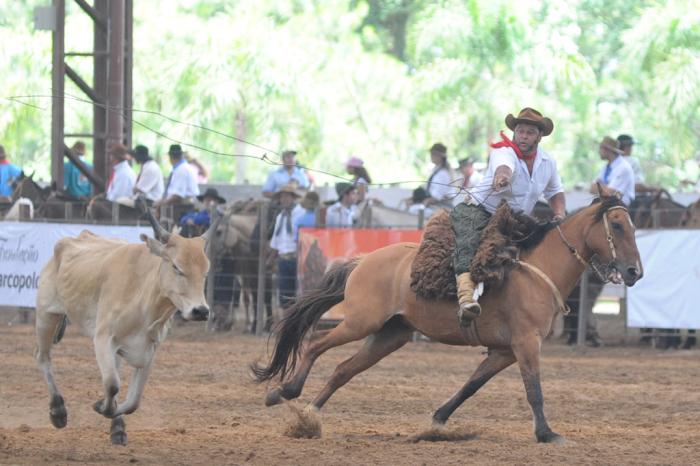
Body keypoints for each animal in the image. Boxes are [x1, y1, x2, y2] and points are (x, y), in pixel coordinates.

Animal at [254, 187, 644, 444]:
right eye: (617, 225)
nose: (634, 272)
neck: (537, 269)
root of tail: (363, 260)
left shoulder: (503, 351)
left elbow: (471, 386)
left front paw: (437, 421)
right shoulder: (525, 343)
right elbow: (534, 389)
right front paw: (547, 434)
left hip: (389, 335)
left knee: (342, 369)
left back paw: (308, 417)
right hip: (359, 322)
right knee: (316, 344)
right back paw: (285, 391)